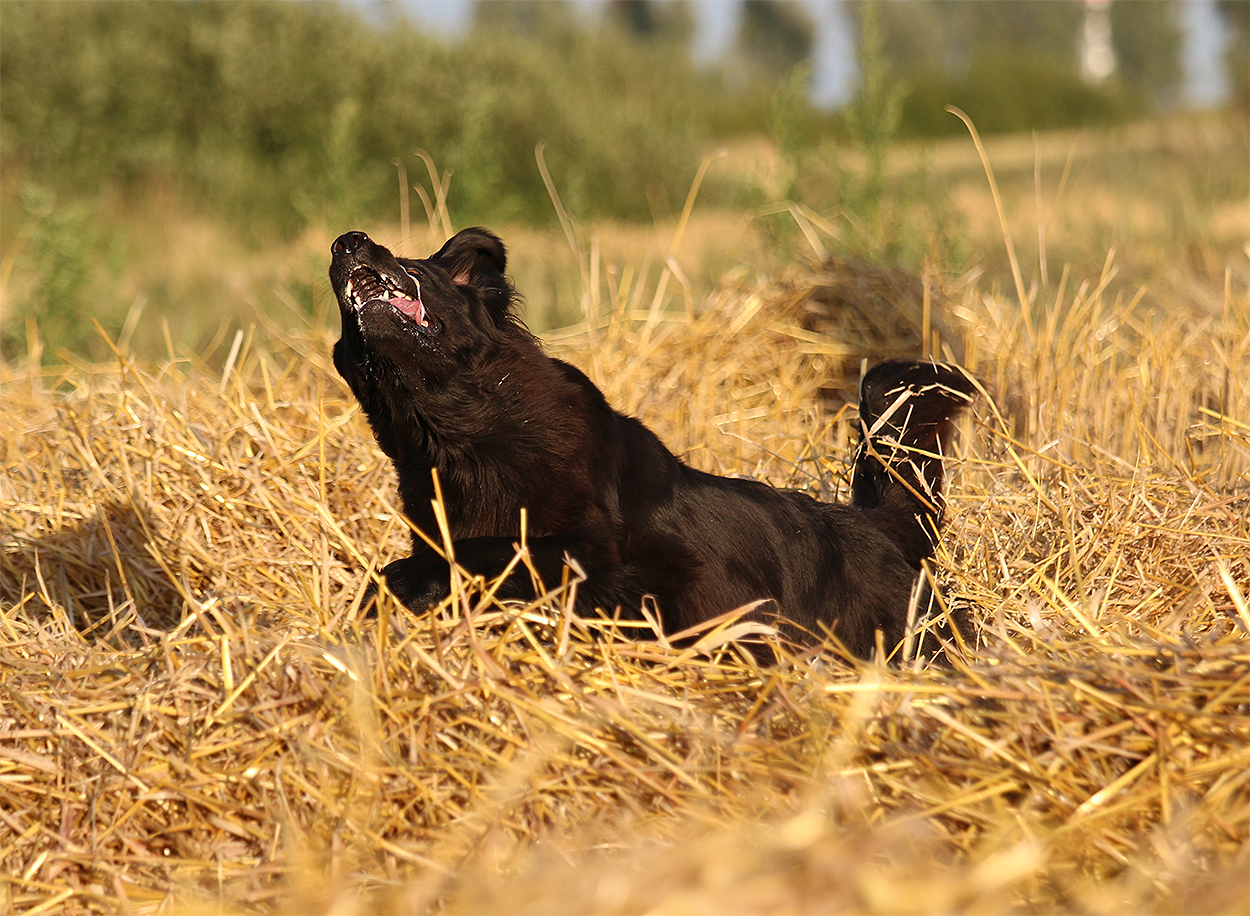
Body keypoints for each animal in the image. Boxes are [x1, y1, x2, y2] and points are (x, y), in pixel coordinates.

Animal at [330, 228, 976, 661]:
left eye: (410, 263)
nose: (345, 242)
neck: (461, 435)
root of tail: (878, 522)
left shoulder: (598, 549)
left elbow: (484, 550)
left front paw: (396, 585)